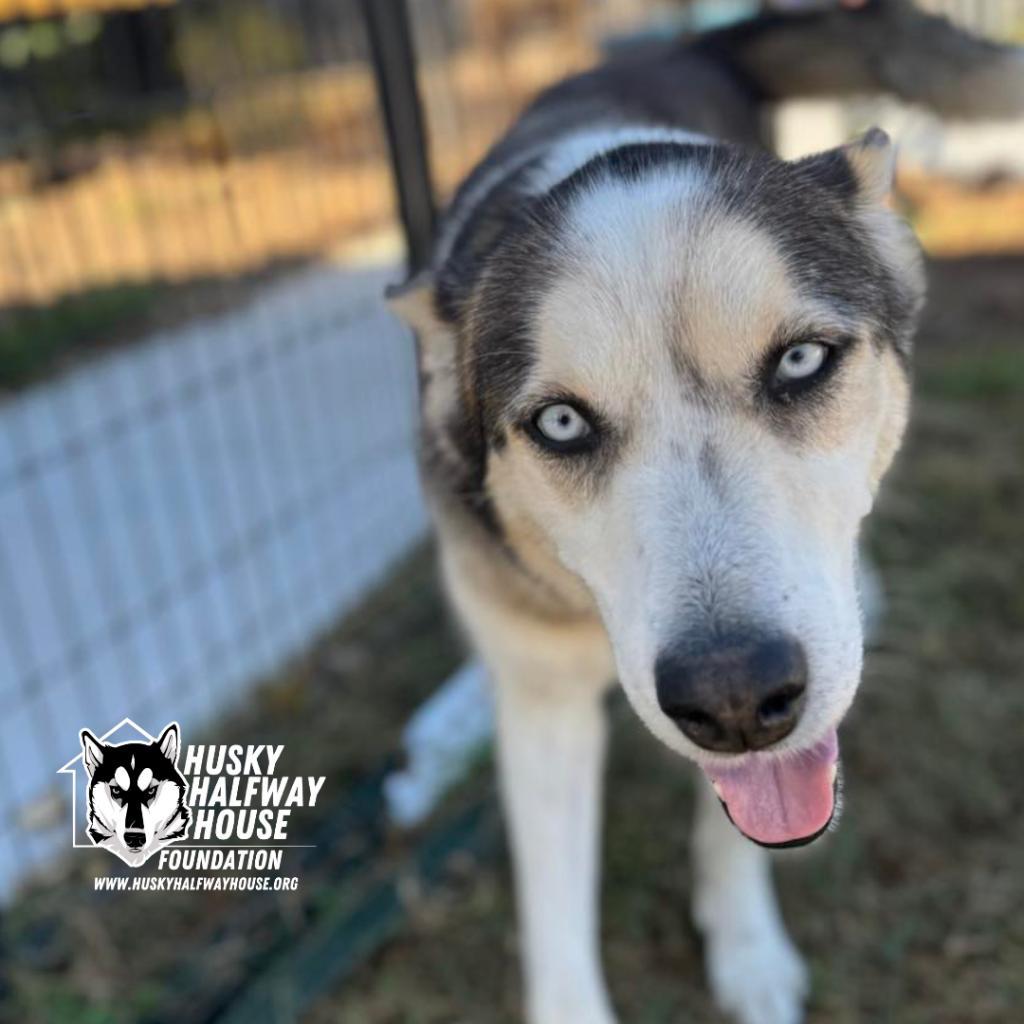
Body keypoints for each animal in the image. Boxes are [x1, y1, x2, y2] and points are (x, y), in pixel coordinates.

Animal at [387, 4, 1019, 1019]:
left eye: (800, 361)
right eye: (561, 423)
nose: (731, 698)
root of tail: (687, 41)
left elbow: (737, 824)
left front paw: (747, 950)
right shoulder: (544, 695)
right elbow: (554, 897)